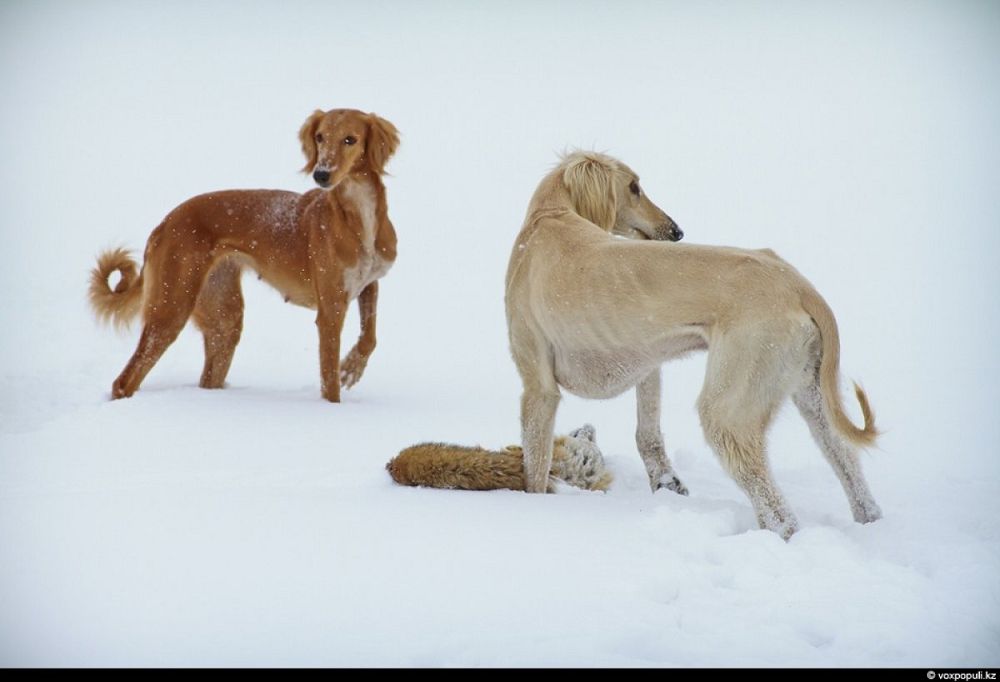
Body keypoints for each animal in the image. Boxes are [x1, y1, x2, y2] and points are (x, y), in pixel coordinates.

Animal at [87, 109, 398, 402]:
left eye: (350, 139)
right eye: (320, 137)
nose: (320, 175)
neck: (359, 215)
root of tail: (164, 223)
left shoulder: (369, 284)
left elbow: (370, 337)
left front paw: (352, 368)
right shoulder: (331, 309)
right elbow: (329, 382)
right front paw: (334, 407)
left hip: (224, 317)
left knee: (207, 377)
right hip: (171, 306)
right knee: (124, 381)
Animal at [504, 153, 880, 536]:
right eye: (633, 187)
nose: (676, 232)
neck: (548, 217)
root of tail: (797, 284)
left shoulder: (539, 388)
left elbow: (535, 465)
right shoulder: (647, 361)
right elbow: (648, 434)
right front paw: (666, 483)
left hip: (730, 409)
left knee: (779, 514)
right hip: (811, 391)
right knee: (846, 460)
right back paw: (870, 521)